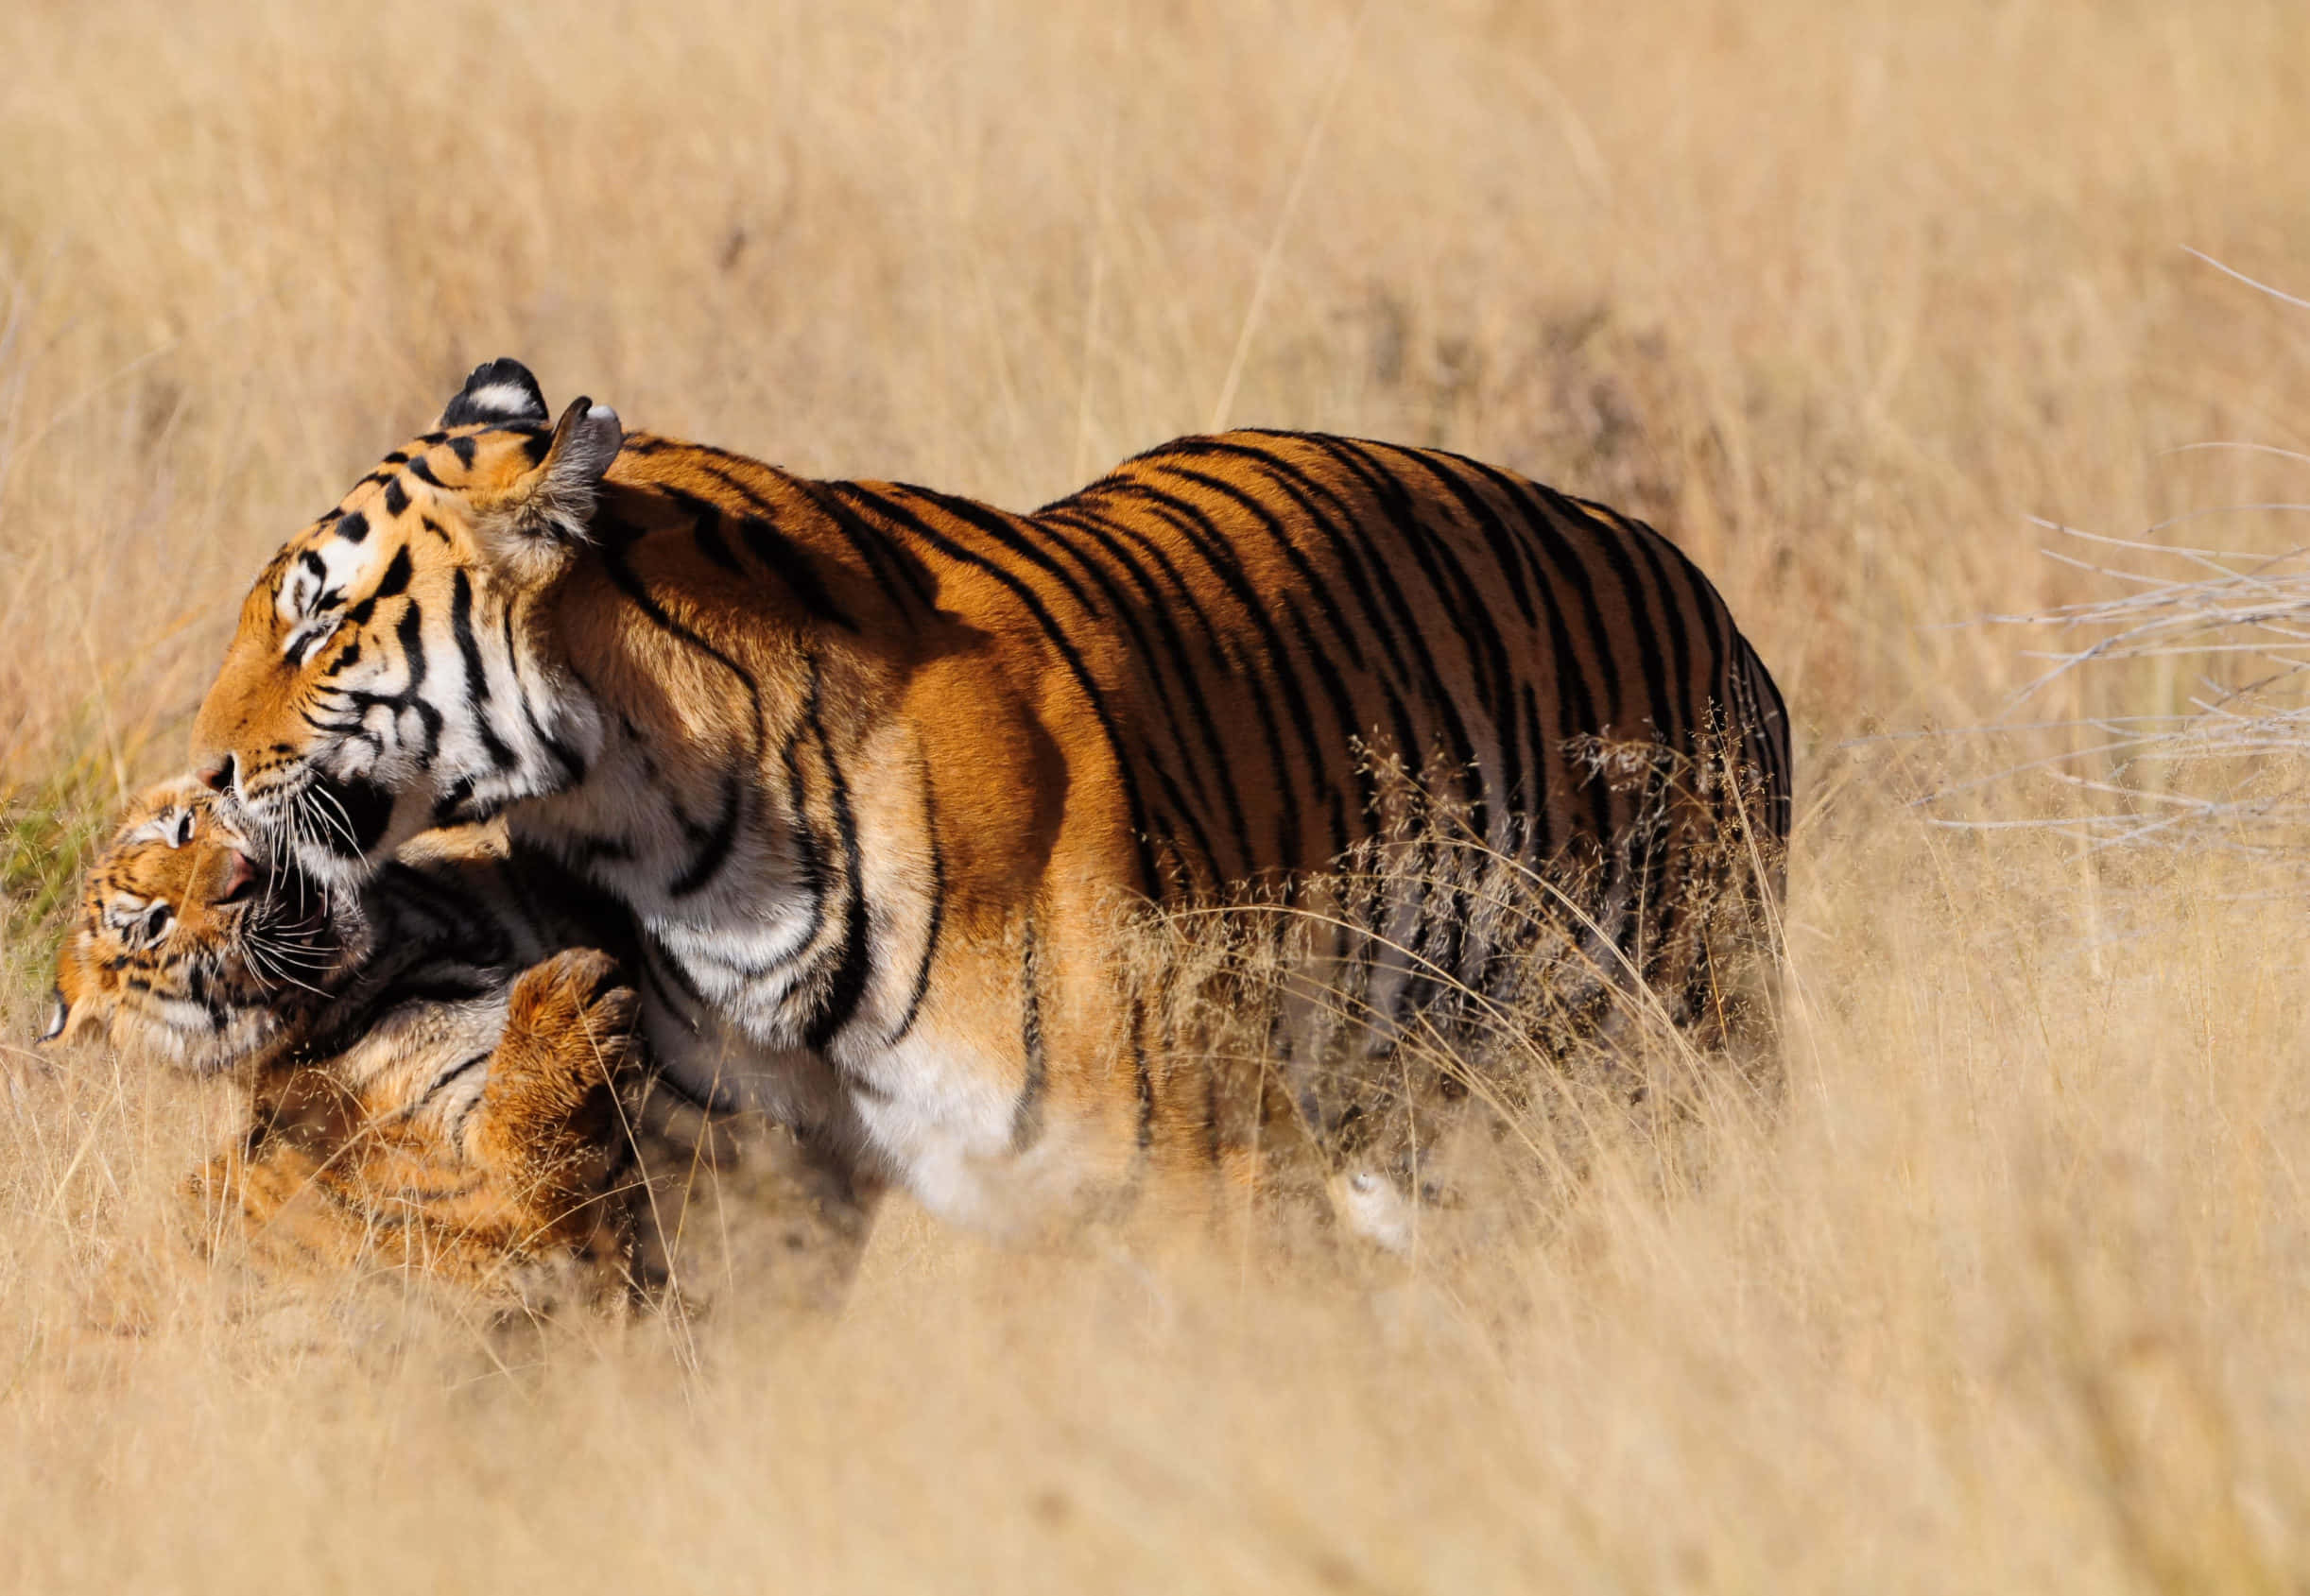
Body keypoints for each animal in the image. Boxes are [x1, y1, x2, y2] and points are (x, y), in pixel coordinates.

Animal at [187, 357, 1792, 1250]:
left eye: (318, 624)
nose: (202, 767)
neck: (680, 855)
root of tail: (1715, 605)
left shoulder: (1196, 1173)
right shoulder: (742, 1175)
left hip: (1674, 1046)